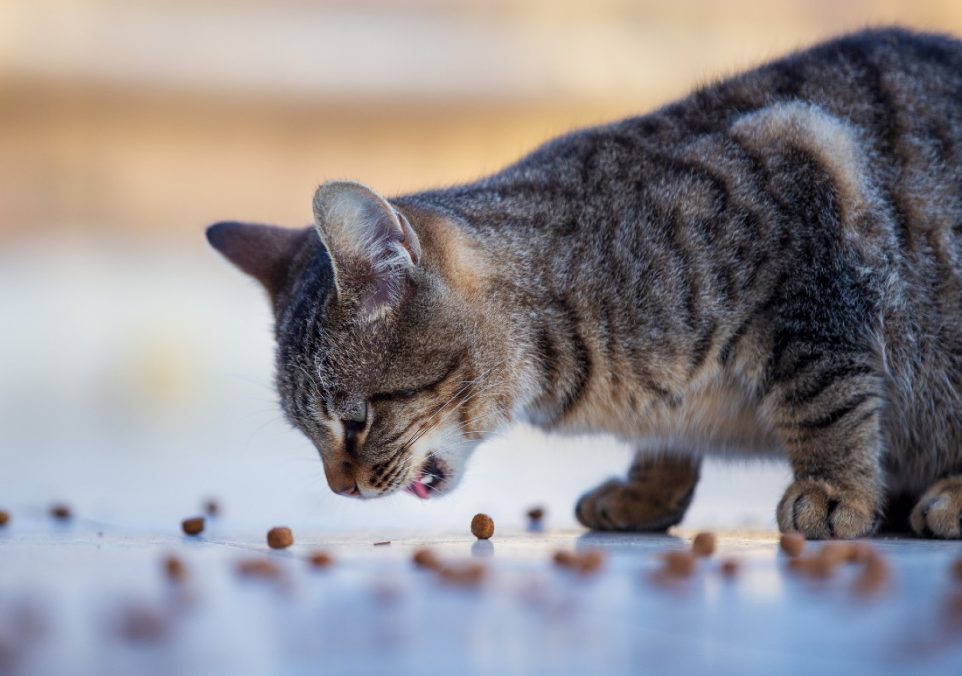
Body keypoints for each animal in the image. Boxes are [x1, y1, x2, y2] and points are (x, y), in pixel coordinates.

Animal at [208, 27, 960, 540]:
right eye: (309, 432)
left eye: (356, 420)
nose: (341, 489)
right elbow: (667, 444)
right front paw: (647, 490)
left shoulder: (804, 195)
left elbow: (824, 398)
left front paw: (832, 489)